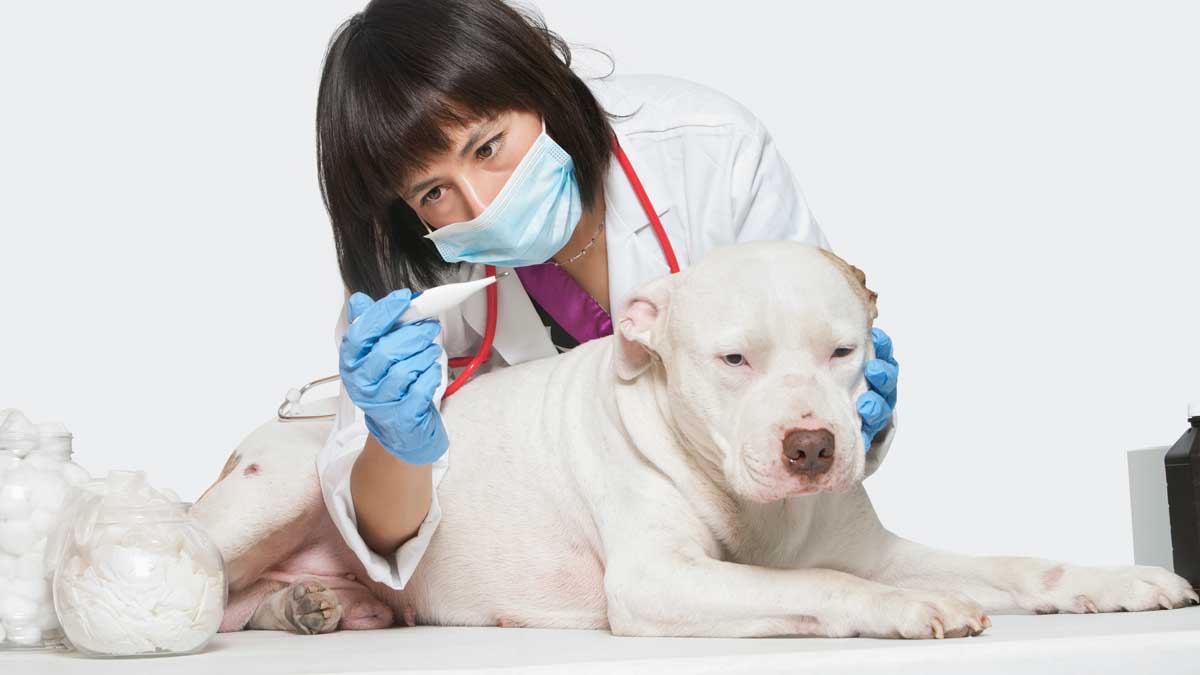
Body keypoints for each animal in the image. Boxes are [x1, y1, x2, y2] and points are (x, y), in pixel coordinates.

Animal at [192, 241, 1195, 634]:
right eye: (734, 359)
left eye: (844, 351)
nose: (811, 447)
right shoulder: (659, 580)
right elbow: (819, 586)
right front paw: (904, 611)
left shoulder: (879, 549)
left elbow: (1019, 565)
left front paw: (1121, 580)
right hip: (279, 485)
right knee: (207, 567)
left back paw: (316, 607)